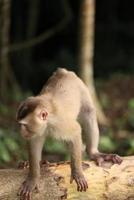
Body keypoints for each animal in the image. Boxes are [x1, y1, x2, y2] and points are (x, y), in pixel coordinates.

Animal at [16, 68, 122, 199]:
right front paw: (33, 178)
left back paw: (93, 153)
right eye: (20, 124)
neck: (48, 122)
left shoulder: (61, 124)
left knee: (89, 113)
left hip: (82, 87)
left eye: (24, 125)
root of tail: (63, 71)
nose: (21, 131)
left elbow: (76, 131)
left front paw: (77, 173)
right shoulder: (38, 130)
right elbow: (34, 143)